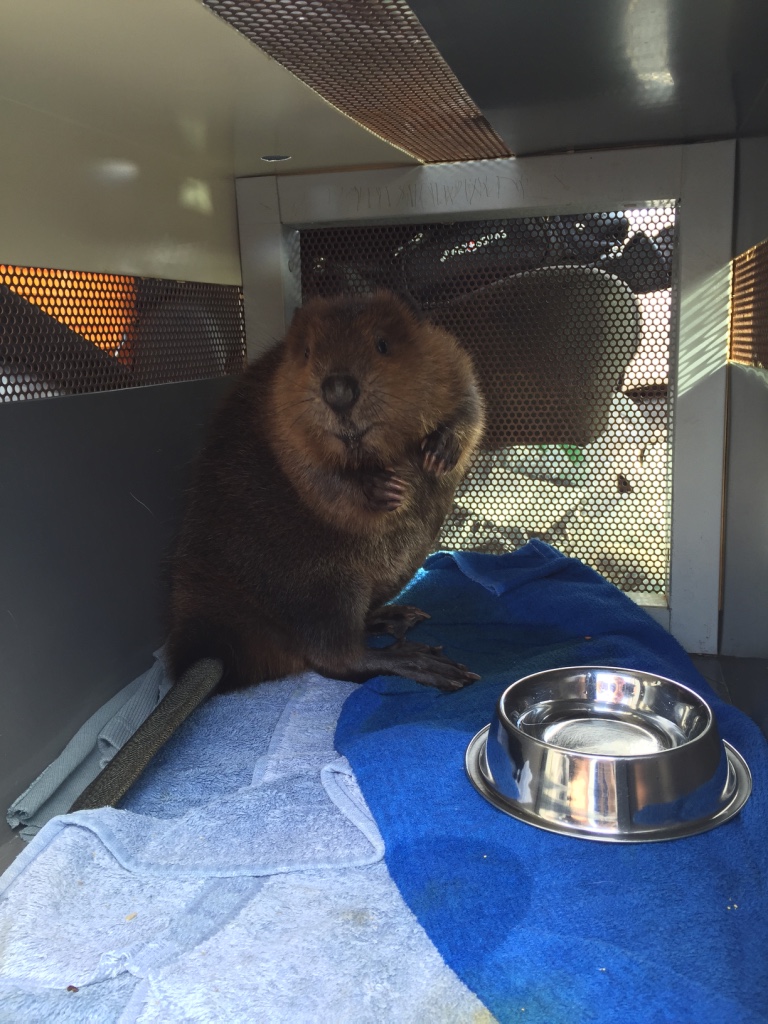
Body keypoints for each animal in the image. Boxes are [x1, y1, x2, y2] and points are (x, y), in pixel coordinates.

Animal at [167, 288, 487, 692]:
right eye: (307, 352)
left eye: (382, 344)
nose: (338, 391)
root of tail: (215, 651)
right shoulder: (278, 413)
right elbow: (315, 476)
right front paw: (387, 489)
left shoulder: (450, 359)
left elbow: (471, 408)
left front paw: (439, 452)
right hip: (323, 587)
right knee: (337, 657)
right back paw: (423, 660)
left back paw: (399, 615)